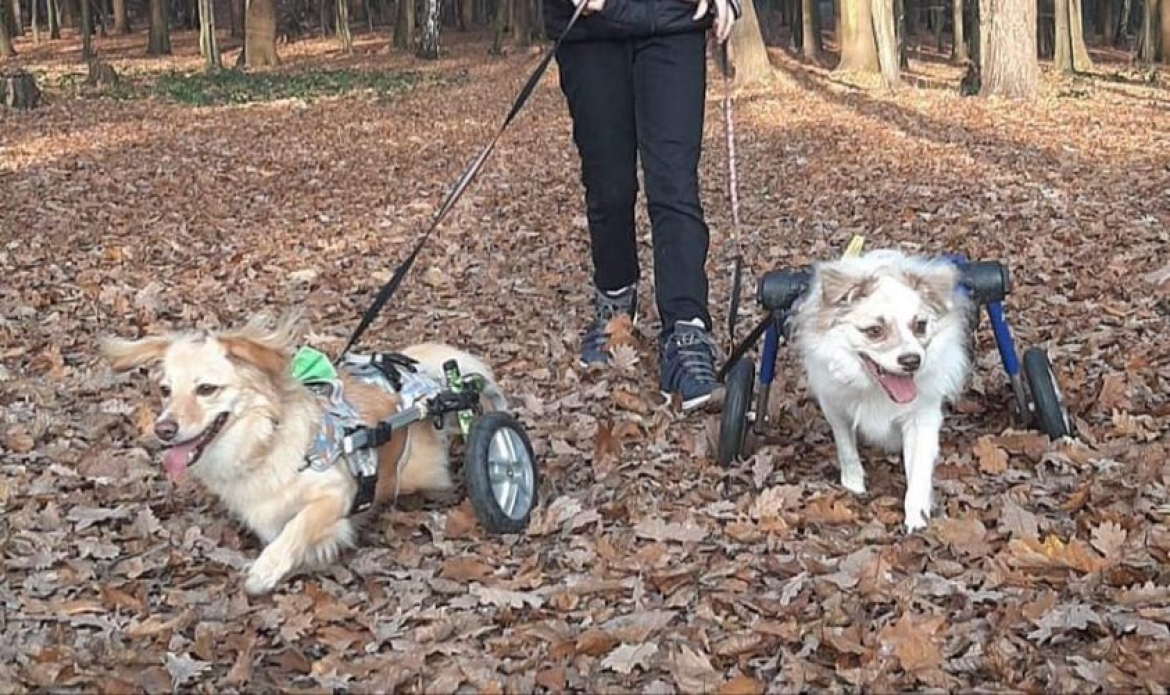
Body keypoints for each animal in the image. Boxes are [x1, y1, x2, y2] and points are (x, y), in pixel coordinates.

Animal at [790, 249, 973, 531]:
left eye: (920, 325)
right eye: (874, 331)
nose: (912, 360)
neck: (878, 390)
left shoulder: (922, 419)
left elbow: (919, 471)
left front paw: (916, 516)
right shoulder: (836, 410)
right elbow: (846, 450)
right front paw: (853, 486)